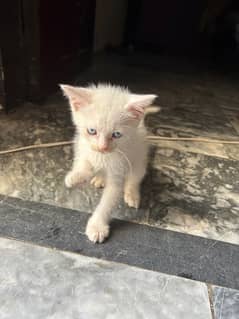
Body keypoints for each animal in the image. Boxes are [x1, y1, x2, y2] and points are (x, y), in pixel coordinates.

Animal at [60, 84, 156, 244]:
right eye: (92, 131)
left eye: (117, 134)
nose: (102, 147)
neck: (103, 157)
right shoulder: (82, 145)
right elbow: (84, 162)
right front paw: (75, 177)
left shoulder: (120, 168)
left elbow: (108, 201)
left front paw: (97, 226)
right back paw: (99, 178)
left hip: (139, 159)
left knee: (135, 177)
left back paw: (132, 194)